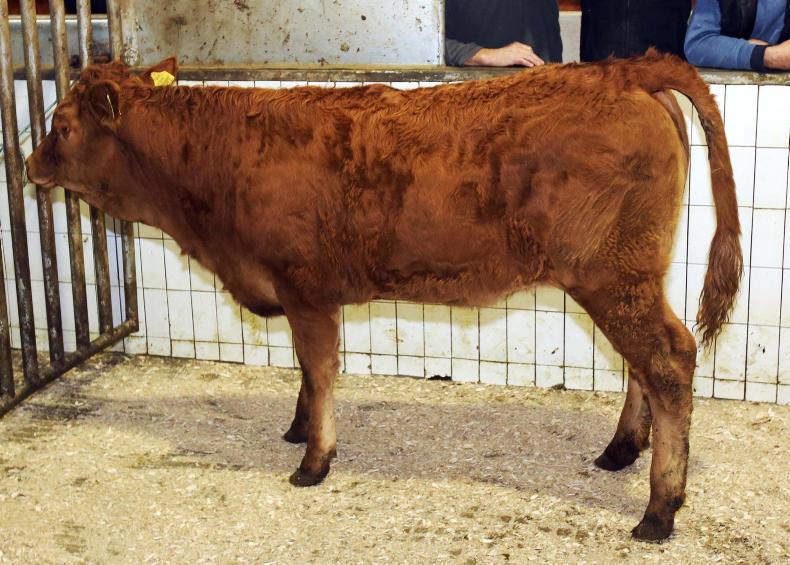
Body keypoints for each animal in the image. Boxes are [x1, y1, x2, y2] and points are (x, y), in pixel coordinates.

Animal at [26, 51, 742, 541]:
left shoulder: (304, 285)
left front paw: (314, 461)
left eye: (61, 125)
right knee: (643, 364)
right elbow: (305, 371)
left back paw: (659, 509)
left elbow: (319, 367)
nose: (30, 166)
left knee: (669, 360)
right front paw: (297, 428)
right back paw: (621, 451)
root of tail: (622, 72)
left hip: (610, 276)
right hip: (630, 276)